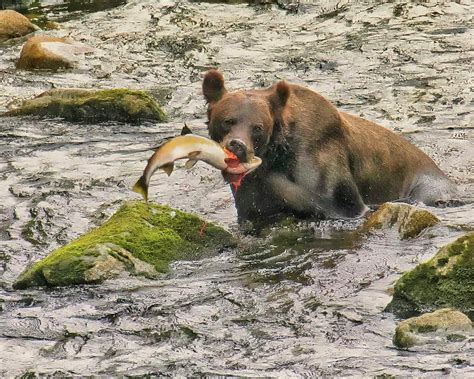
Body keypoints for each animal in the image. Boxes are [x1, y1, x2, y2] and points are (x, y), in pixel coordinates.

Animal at [202, 70, 458, 224]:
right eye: (227, 121)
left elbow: (340, 202)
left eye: (257, 127)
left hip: (425, 183)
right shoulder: (250, 197)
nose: (238, 145)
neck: (278, 155)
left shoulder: (320, 157)